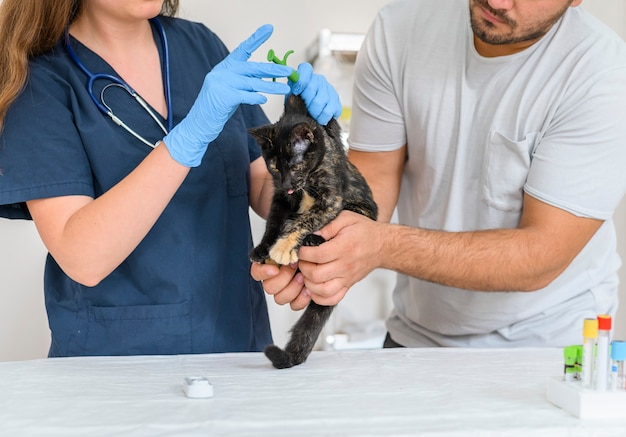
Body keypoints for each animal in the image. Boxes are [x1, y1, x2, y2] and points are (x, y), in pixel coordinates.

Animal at [247, 95, 376, 368]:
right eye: (274, 168)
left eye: (295, 167)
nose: (286, 184)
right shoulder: (279, 198)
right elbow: (273, 222)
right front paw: (264, 248)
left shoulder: (331, 200)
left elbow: (304, 220)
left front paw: (282, 248)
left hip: (359, 210)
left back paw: (312, 241)